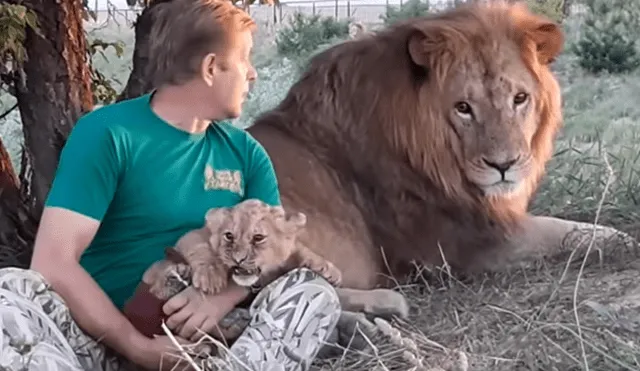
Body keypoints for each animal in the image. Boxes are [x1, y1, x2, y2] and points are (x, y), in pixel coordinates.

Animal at [248, 2, 632, 314]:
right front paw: (623, 239)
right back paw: (382, 305)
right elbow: (568, 233)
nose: (503, 166)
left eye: (520, 98)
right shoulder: (469, 245)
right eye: (463, 107)